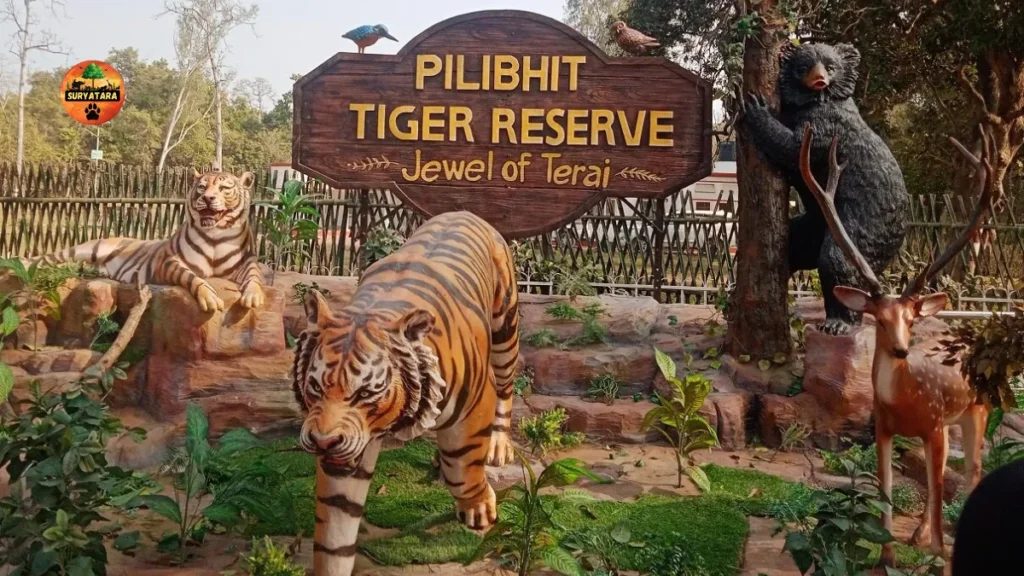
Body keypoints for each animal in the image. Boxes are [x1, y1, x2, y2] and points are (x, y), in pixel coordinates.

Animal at [34, 169, 264, 312]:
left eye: (224, 189)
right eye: (201, 187)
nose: (207, 198)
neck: (215, 233)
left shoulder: (247, 261)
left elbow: (255, 276)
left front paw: (253, 297)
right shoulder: (170, 262)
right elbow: (192, 277)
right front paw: (210, 299)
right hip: (82, 249)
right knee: (45, 260)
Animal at [292, 210, 521, 576]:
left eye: (366, 392)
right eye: (315, 386)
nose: (323, 443)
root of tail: (465, 212)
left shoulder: (475, 403)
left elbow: (463, 466)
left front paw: (478, 507)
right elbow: (334, 529)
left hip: (505, 331)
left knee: (506, 389)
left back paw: (497, 446)